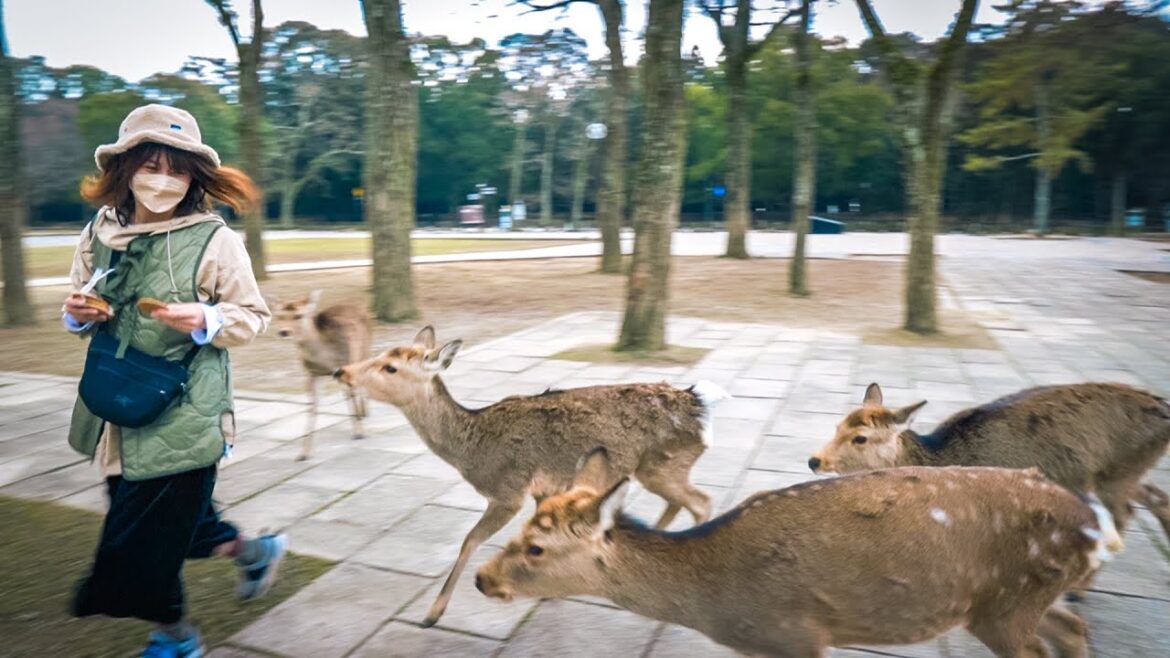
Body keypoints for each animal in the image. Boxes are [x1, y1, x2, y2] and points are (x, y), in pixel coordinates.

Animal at [272, 290, 371, 461]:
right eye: (279, 316)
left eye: (298, 315)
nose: (284, 332)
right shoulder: (311, 374)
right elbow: (312, 407)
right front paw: (304, 453)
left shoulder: (345, 362)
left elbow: (351, 393)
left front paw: (359, 433)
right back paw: (361, 413)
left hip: (364, 348)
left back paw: (364, 413)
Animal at [333, 326, 731, 627]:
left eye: (390, 367)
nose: (341, 372)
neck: (472, 450)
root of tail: (702, 405)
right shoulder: (546, 488)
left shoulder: (509, 490)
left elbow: (470, 541)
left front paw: (432, 614)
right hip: (654, 468)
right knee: (678, 504)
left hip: (665, 464)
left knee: (701, 502)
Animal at [477, 448, 1123, 658]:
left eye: (534, 546)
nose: (482, 578)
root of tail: (1096, 526)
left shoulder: (798, 635)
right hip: (1023, 599)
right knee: (1073, 628)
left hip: (1005, 608)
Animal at [808, 382, 1170, 551]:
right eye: (837, 426)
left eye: (860, 437)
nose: (814, 460)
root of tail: (1162, 406)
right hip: (1128, 470)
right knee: (1154, 496)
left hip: (1117, 476)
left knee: (1122, 514)